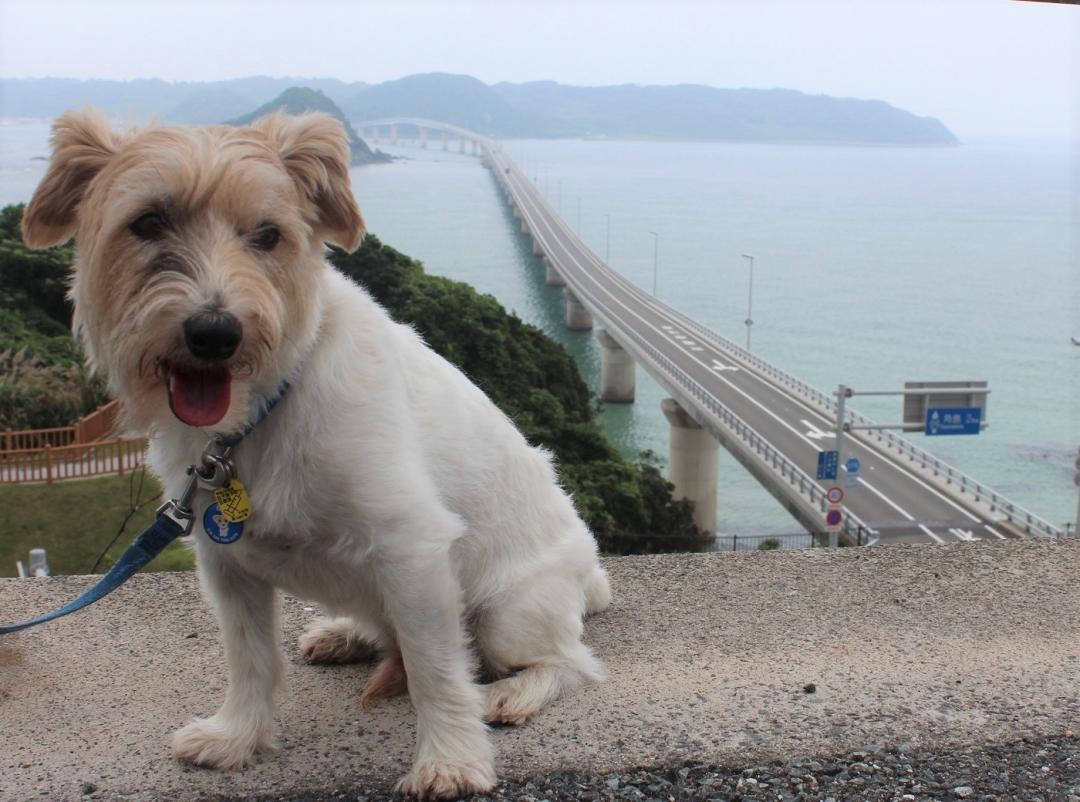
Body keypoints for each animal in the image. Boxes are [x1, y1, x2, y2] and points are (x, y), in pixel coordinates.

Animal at [21, 109, 613, 798]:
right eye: (146, 223)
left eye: (267, 234)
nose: (215, 333)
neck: (261, 410)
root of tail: (590, 575)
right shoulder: (225, 563)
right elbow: (249, 656)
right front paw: (237, 737)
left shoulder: (412, 549)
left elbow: (437, 670)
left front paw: (450, 759)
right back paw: (347, 634)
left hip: (507, 613)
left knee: (569, 661)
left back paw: (514, 692)